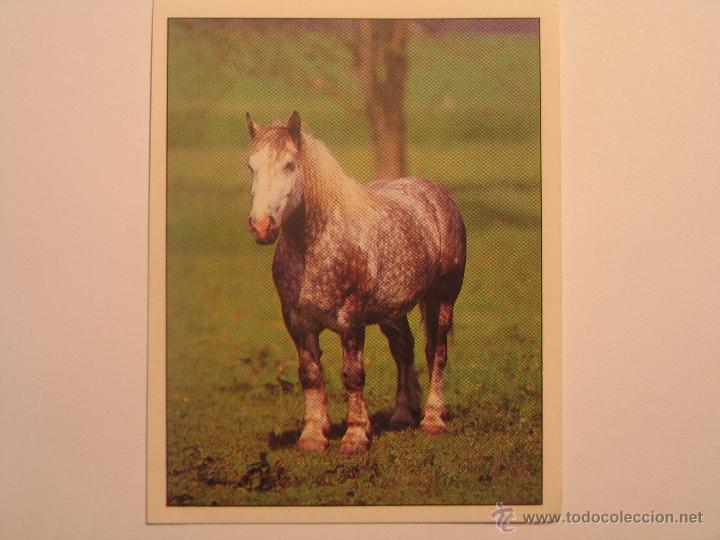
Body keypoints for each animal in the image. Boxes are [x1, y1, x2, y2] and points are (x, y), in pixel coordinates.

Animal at [244, 111, 466, 454]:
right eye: (251, 166)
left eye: (290, 165)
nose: (261, 226)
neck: (316, 243)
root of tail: (438, 197)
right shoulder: (298, 322)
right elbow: (310, 374)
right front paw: (313, 435)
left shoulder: (350, 320)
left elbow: (352, 375)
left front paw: (355, 436)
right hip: (393, 311)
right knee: (404, 349)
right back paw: (402, 416)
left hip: (441, 299)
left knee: (436, 352)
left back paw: (432, 419)